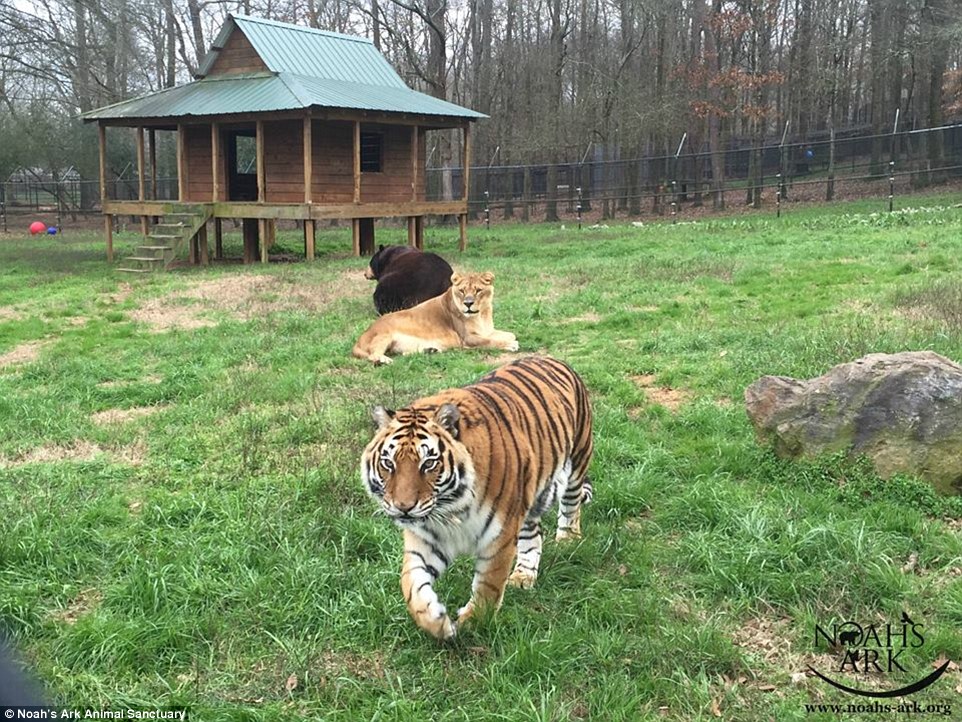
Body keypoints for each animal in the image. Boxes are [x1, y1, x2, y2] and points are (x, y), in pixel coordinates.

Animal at [350, 270, 516, 362]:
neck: (481, 314)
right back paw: (384, 360)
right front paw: (510, 345)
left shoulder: (487, 331)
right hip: (384, 335)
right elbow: (489, 341)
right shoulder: (467, 338)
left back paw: (429, 350)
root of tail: (360, 338)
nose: (468, 303)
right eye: (462, 291)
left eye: (478, 290)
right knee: (373, 355)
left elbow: (511, 334)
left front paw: (510, 339)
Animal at [358, 354, 588, 636]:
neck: (450, 506)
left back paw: (568, 539)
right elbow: (411, 585)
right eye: (388, 463)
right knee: (533, 535)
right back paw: (523, 576)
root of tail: (551, 357)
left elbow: (489, 585)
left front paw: (472, 622)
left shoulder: (500, 536)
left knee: (571, 504)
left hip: (577, 460)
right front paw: (436, 621)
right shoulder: (425, 539)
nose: (404, 507)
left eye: (428, 464)